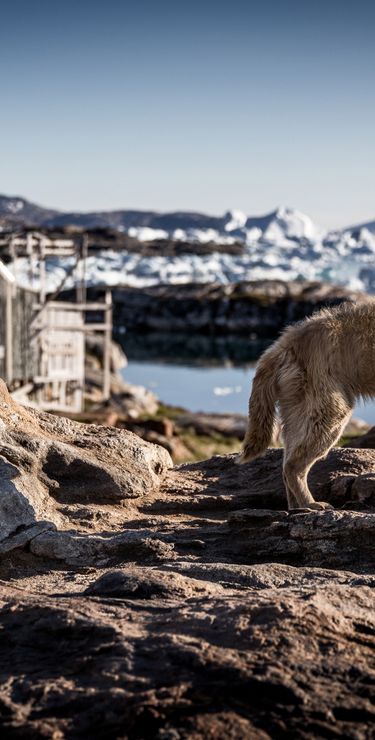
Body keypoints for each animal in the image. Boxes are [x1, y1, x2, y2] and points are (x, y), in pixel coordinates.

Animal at [239, 300, 374, 508]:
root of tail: (281, 345)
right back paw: (312, 503)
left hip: (295, 396)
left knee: (290, 448)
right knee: (300, 455)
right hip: (322, 385)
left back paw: (296, 505)